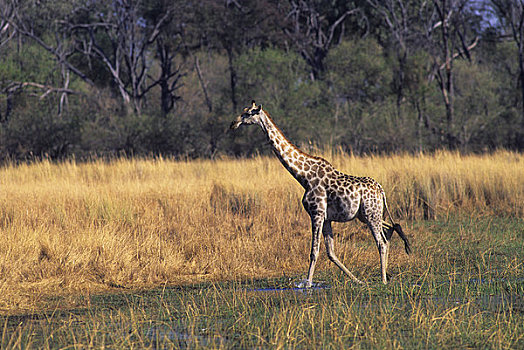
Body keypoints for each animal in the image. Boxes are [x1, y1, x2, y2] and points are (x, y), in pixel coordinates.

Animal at [231, 100, 412, 286]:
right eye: (243, 111)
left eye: (248, 113)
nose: (233, 124)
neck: (303, 176)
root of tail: (381, 189)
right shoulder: (326, 218)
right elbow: (331, 253)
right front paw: (357, 280)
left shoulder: (316, 213)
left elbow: (314, 251)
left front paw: (307, 284)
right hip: (367, 214)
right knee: (390, 230)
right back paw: (386, 273)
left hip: (371, 214)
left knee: (382, 242)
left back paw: (383, 280)